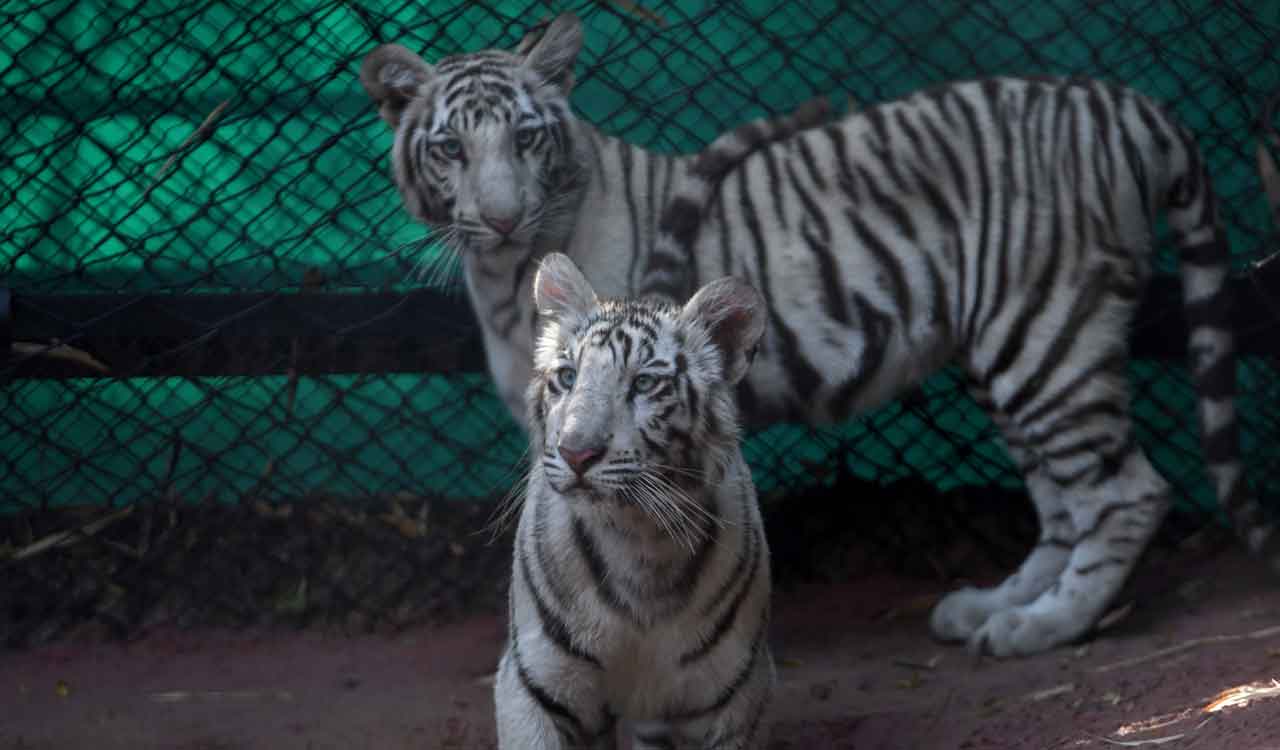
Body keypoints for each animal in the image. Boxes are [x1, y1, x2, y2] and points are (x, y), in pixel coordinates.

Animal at [360, 12, 1280, 657]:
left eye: (525, 138)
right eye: (450, 148)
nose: (502, 218)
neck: (503, 278)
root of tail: (1126, 101)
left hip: (1046, 334)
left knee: (1127, 492)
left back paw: (1044, 628)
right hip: (1013, 347)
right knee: (1063, 501)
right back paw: (995, 606)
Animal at [495, 251, 772, 749]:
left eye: (644, 384)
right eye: (567, 377)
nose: (575, 452)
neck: (639, 542)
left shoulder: (739, 701)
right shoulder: (531, 687)